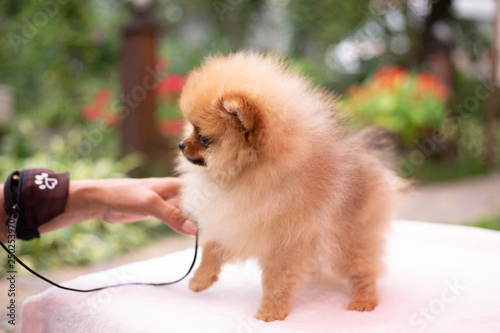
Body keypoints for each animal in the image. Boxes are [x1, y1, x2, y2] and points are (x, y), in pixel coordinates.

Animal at [178, 52, 396, 322]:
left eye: (204, 138)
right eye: (191, 127)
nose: (181, 144)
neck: (246, 175)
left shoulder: (284, 243)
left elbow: (276, 281)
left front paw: (269, 313)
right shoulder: (234, 221)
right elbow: (211, 249)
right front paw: (200, 279)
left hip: (346, 239)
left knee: (363, 269)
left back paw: (363, 300)